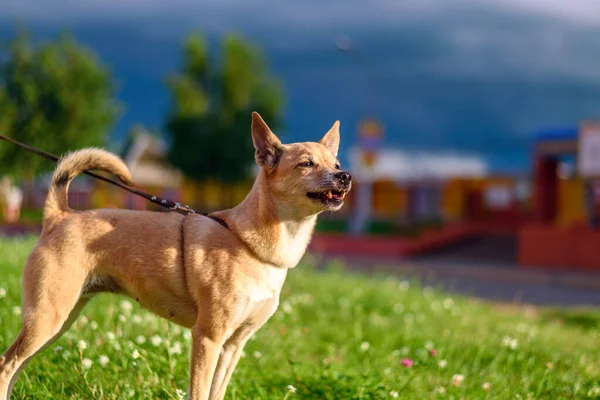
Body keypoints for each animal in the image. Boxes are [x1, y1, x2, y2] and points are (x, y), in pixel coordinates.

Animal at [0, 112, 352, 400]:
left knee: (15, 366)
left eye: (335, 165)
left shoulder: (233, 346)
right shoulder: (208, 338)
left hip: (59, 321)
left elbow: (216, 394)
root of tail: (60, 216)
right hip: (48, 318)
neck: (250, 243)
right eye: (306, 163)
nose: (345, 175)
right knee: (6, 365)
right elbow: (199, 393)